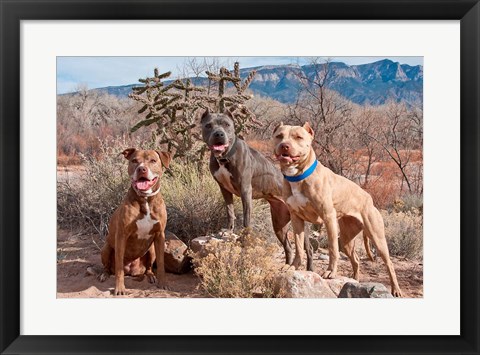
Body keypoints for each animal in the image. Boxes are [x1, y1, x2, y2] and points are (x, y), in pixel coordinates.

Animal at [98, 149, 172, 296]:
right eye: (134, 161)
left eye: (153, 161)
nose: (141, 169)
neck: (146, 199)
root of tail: (131, 270)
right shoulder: (121, 235)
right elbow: (119, 268)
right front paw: (119, 289)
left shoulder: (160, 235)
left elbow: (161, 264)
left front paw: (163, 284)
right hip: (106, 248)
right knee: (109, 267)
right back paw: (104, 274)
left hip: (151, 250)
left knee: (149, 268)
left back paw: (151, 276)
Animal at [201, 109, 314, 270]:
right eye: (208, 125)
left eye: (227, 125)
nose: (219, 134)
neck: (225, 157)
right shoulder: (224, 189)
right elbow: (230, 211)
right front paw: (228, 230)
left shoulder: (245, 190)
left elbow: (246, 218)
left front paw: (244, 237)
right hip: (279, 224)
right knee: (288, 247)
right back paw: (286, 267)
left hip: (301, 224)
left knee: (308, 248)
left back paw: (310, 269)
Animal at [272, 122, 404, 298]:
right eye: (279, 136)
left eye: (298, 137)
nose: (284, 146)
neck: (298, 176)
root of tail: (369, 198)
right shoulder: (296, 219)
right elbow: (299, 247)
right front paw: (293, 267)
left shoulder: (328, 218)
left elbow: (332, 249)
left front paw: (330, 272)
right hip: (347, 240)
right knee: (355, 259)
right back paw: (355, 281)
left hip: (377, 237)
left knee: (389, 264)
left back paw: (396, 290)